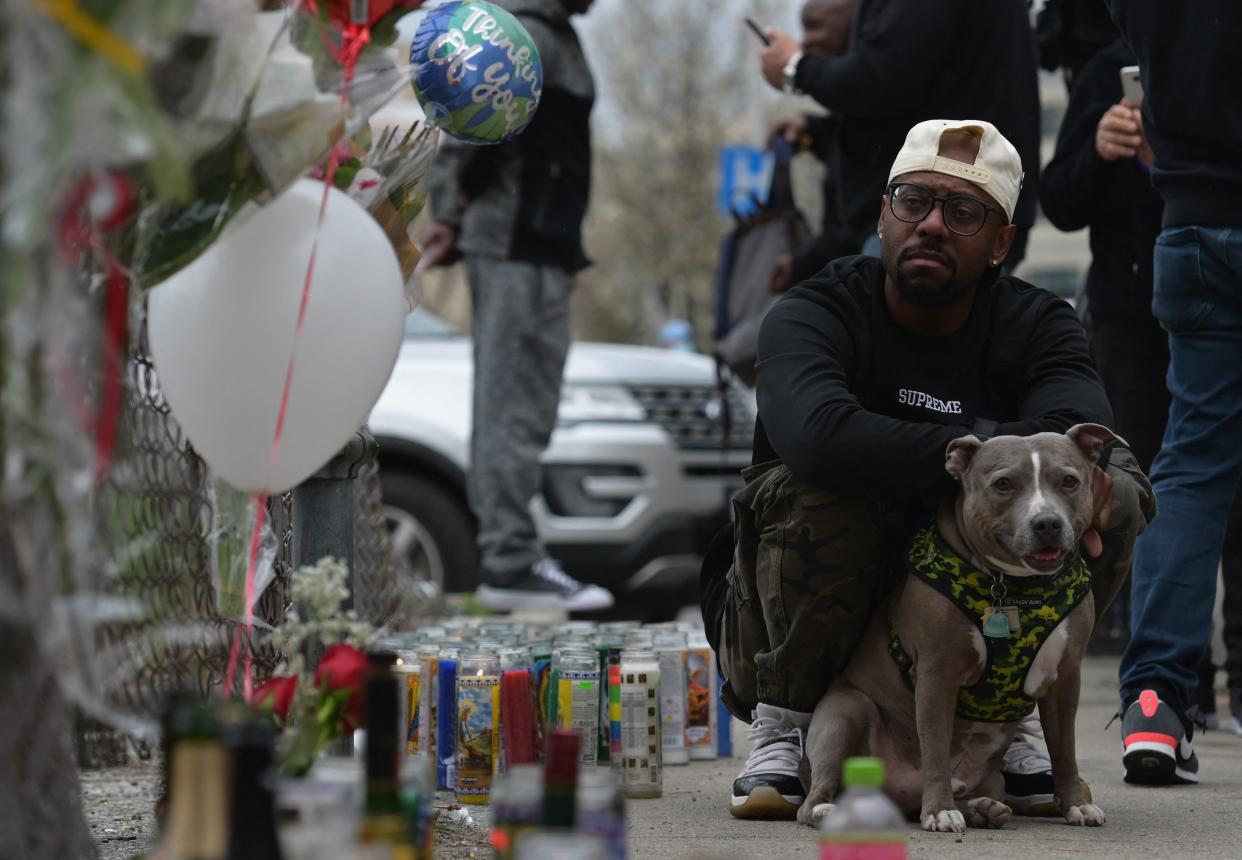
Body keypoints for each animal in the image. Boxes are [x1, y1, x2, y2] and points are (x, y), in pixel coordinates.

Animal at [799, 422, 1122, 835]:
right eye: (1003, 484)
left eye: (1069, 481)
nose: (1047, 522)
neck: (1013, 587)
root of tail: (894, 795)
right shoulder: (938, 674)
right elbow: (936, 747)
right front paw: (939, 810)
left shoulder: (1065, 680)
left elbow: (1065, 750)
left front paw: (1077, 805)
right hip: (845, 712)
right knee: (815, 795)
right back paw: (830, 809)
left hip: (991, 777)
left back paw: (984, 808)